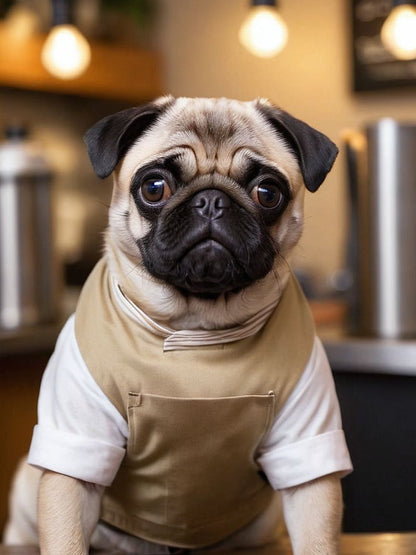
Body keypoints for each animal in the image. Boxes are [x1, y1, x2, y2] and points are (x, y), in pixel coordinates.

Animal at [13, 97, 352, 552]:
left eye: (267, 193)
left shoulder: (308, 457)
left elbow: (317, 535)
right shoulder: (73, 456)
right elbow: (66, 536)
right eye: (154, 188)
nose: (211, 200)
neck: (197, 329)